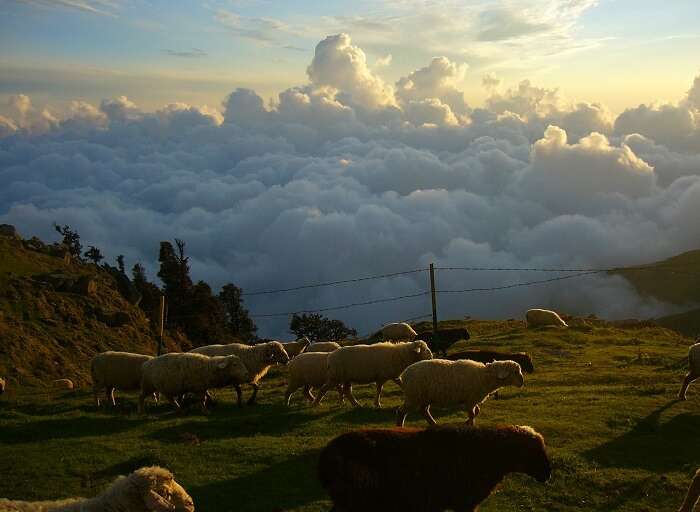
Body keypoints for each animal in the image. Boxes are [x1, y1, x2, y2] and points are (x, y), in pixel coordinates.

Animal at [396, 360, 524, 428]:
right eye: (514, 372)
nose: (522, 382)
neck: (483, 376)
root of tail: (404, 374)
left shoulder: (472, 400)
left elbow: (477, 412)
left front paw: (466, 423)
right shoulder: (470, 400)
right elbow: (473, 414)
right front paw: (471, 425)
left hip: (424, 397)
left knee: (424, 411)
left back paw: (434, 425)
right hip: (414, 396)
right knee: (401, 411)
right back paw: (400, 427)